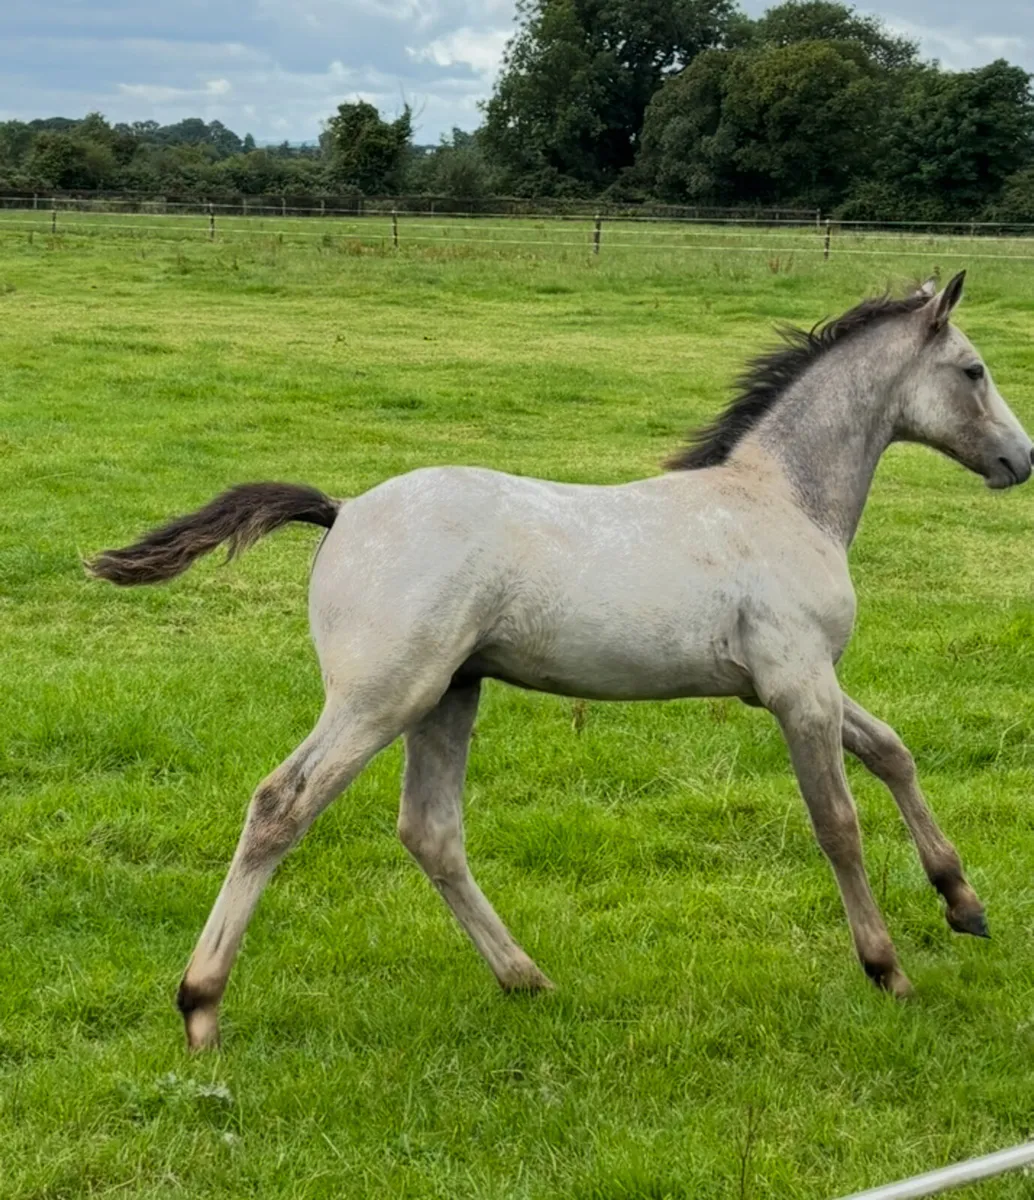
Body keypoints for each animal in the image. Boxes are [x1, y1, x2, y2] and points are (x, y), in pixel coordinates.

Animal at [89, 271, 1033, 1050]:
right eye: (974, 371)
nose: (1020, 460)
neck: (780, 502)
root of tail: (343, 508)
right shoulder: (798, 687)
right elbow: (837, 822)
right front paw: (888, 969)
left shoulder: (796, 684)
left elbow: (894, 753)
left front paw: (964, 902)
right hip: (381, 697)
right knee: (281, 805)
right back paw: (201, 1006)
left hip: (449, 695)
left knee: (430, 831)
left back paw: (526, 978)